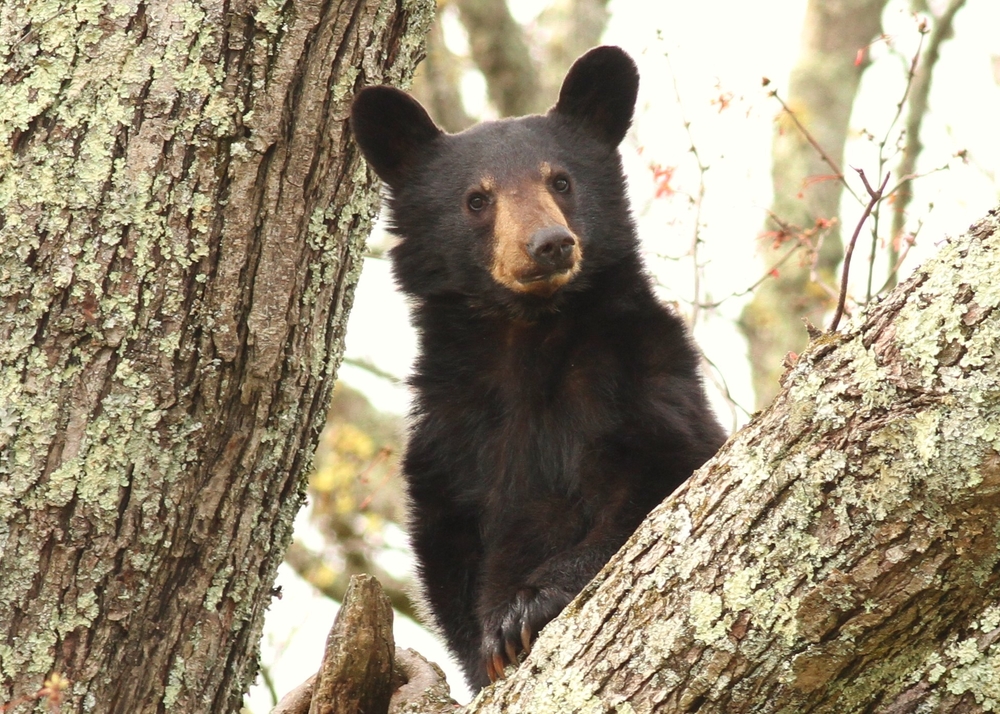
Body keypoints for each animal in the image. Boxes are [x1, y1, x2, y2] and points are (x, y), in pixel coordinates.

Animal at [350, 46, 727, 691]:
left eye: (561, 181)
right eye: (478, 199)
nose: (550, 244)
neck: (527, 336)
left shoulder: (642, 372)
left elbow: (659, 475)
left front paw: (525, 610)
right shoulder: (449, 430)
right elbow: (448, 551)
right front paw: (490, 649)